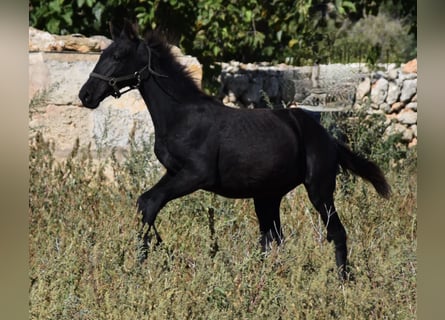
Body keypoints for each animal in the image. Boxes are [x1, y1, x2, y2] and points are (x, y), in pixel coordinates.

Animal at [79, 20, 388, 280]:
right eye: (103, 53)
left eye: (118, 56)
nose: (85, 95)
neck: (182, 114)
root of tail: (329, 140)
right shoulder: (174, 172)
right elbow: (145, 201)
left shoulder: (195, 175)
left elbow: (151, 203)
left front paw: (140, 266)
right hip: (267, 196)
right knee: (273, 239)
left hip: (319, 189)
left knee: (335, 232)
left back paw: (343, 282)